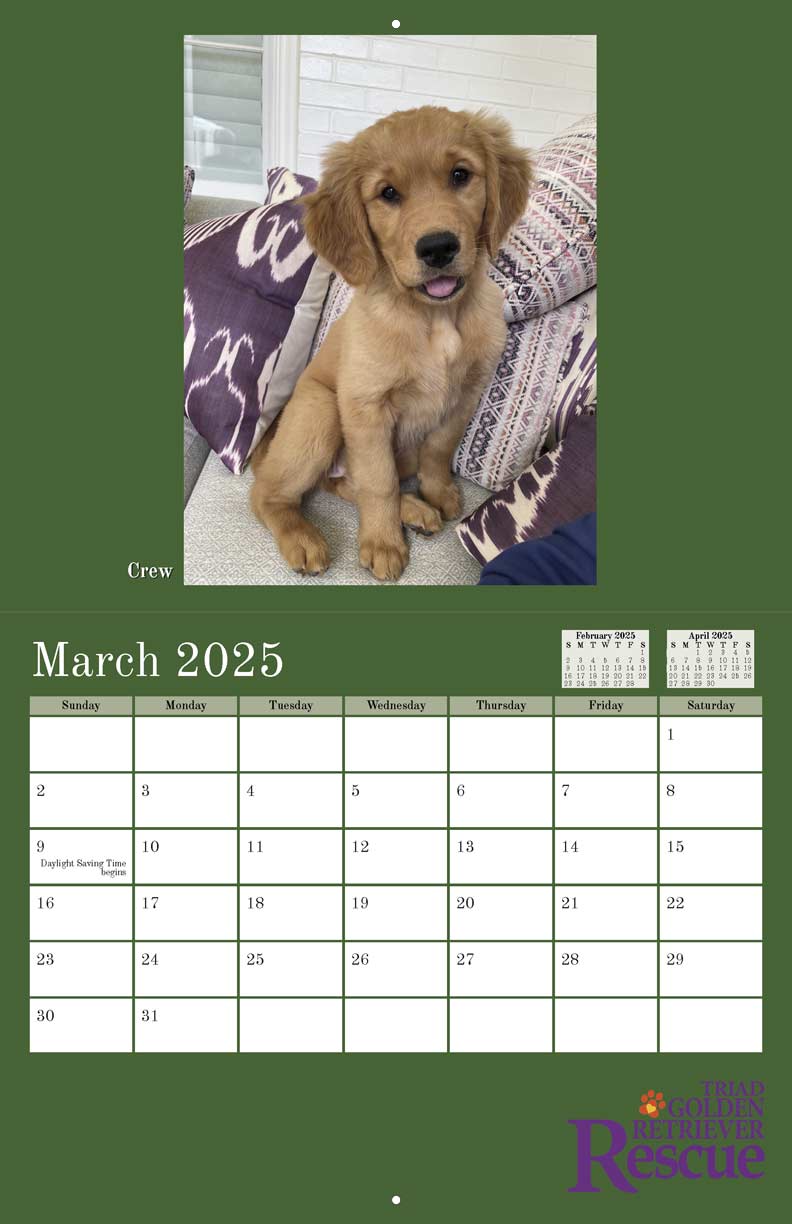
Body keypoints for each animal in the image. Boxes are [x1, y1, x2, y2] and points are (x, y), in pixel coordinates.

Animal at [251, 106, 532, 581]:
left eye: (460, 175)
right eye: (388, 194)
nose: (438, 247)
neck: (435, 319)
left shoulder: (465, 395)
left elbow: (439, 447)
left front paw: (437, 494)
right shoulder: (366, 407)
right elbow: (379, 482)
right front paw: (382, 543)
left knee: (349, 483)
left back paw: (416, 510)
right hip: (320, 413)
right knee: (269, 493)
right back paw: (304, 539)